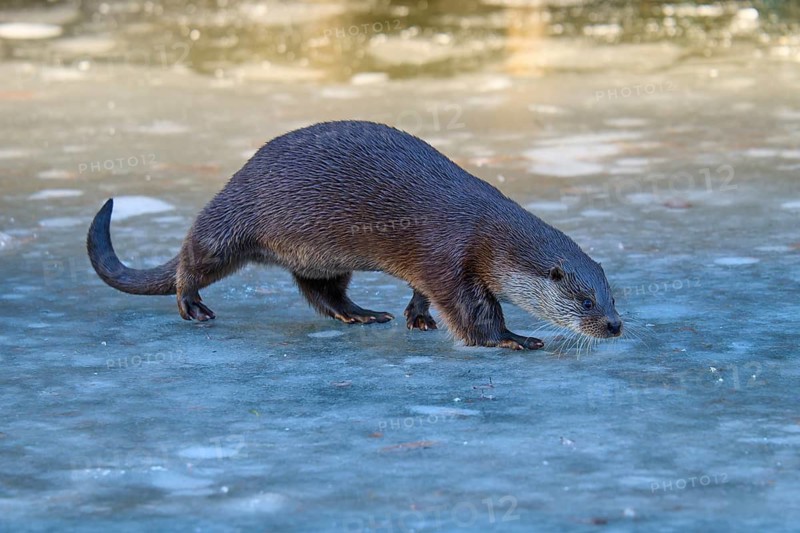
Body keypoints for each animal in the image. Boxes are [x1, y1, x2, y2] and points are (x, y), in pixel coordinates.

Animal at [87, 121, 622, 350]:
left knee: (321, 291)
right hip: (234, 220)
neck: (485, 231)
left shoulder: (431, 263)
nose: (616, 325)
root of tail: (239, 176)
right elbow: (472, 313)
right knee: (194, 254)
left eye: (613, 296)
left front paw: (416, 317)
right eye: (587, 301)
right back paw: (192, 305)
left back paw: (362, 314)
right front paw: (513, 338)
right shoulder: (449, 254)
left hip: (320, 255)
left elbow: (423, 292)